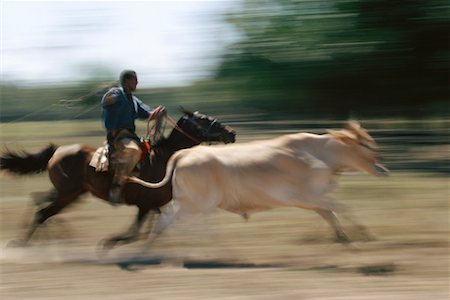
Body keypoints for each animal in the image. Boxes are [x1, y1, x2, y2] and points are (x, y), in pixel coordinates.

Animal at [0, 109, 236, 247]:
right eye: (204, 119)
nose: (231, 133)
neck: (165, 159)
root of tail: (57, 151)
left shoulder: (154, 205)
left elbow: (155, 227)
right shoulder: (145, 205)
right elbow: (136, 232)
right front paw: (111, 241)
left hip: (67, 192)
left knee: (39, 202)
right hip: (68, 194)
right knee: (43, 212)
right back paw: (28, 243)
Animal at [129, 120, 386, 245]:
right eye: (366, 145)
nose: (382, 169)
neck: (319, 153)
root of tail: (183, 155)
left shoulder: (313, 200)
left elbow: (330, 214)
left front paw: (343, 237)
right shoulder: (308, 196)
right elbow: (342, 207)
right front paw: (367, 234)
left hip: (192, 203)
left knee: (168, 219)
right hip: (195, 204)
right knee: (169, 218)